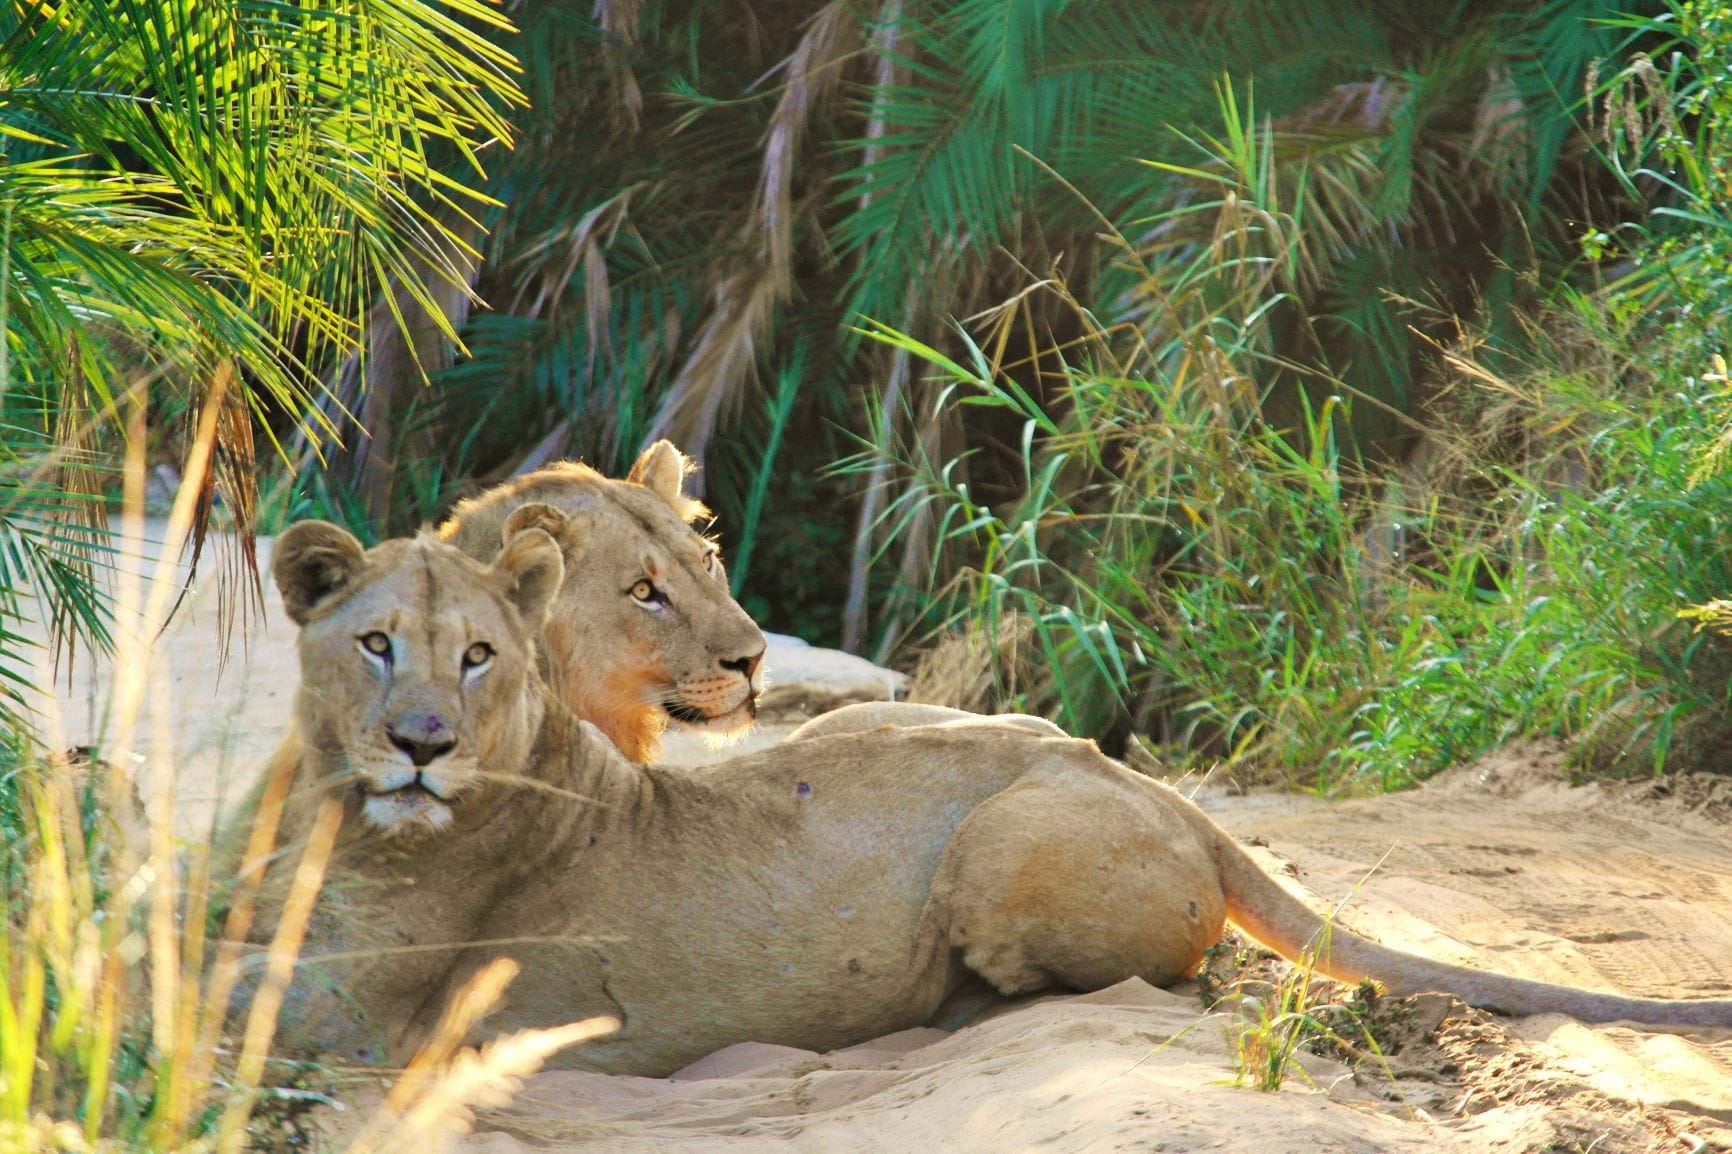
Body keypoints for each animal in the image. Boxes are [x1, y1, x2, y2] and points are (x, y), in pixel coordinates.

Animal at [255, 518, 1732, 1076]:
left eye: (479, 653)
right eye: (377, 642)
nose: (423, 743)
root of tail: (1168, 792)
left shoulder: (339, 1022)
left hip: (1005, 846)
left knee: (1157, 970)